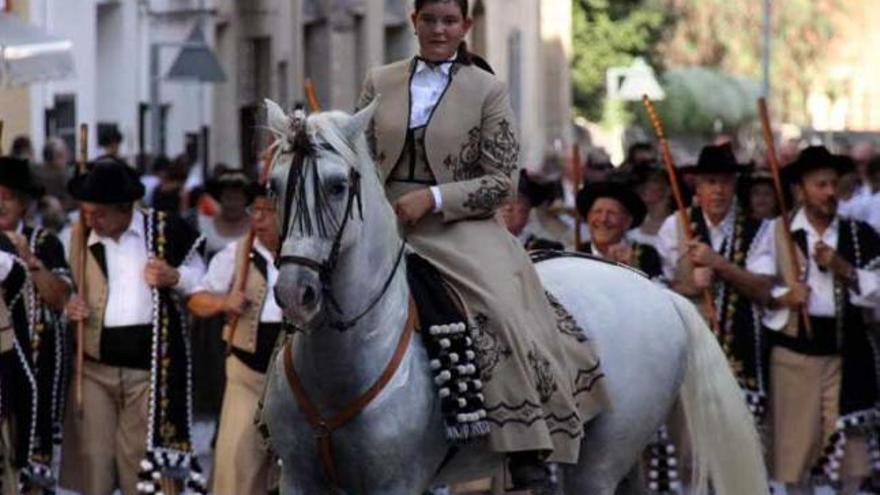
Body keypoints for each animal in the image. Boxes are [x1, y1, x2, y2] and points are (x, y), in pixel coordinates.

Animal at [258, 101, 768, 495]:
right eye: (274, 185)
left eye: (338, 185)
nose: (295, 292)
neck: (349, 354)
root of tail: (656, 290)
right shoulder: (301, 479)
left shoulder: (395, 483)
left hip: (601, 459)